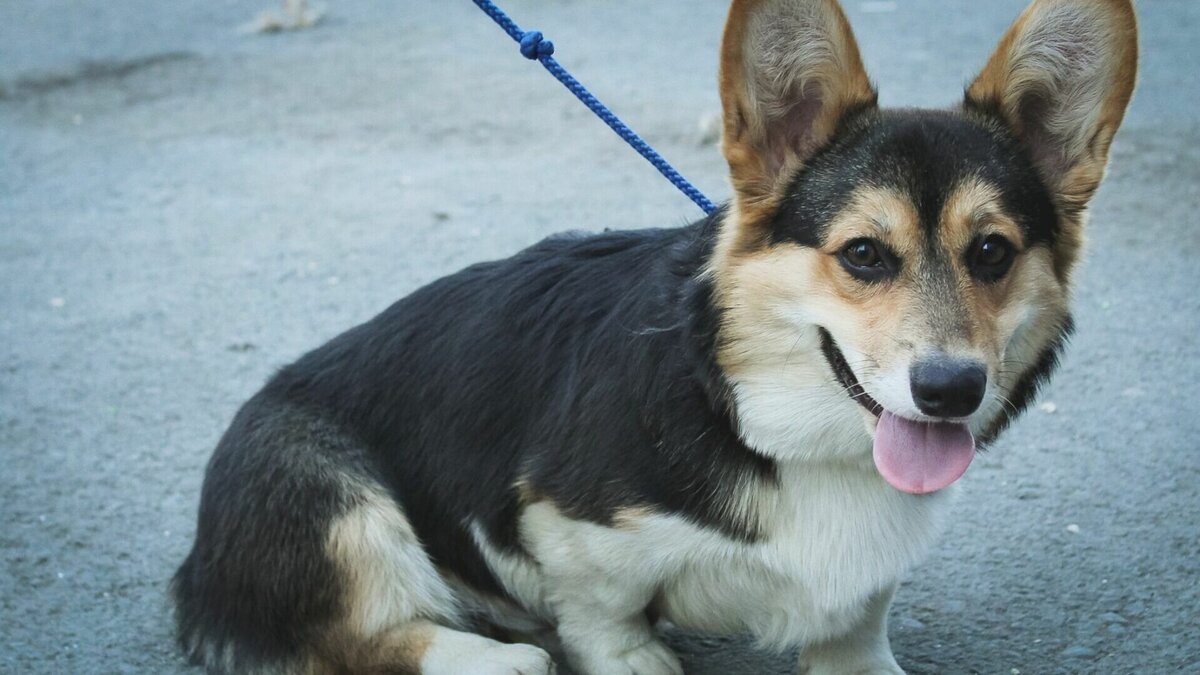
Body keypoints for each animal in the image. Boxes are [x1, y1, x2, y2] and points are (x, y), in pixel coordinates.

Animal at [169, 2, 1132, 667]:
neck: (781, 427)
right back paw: (497, 660)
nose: (950, 389)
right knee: (343, 638)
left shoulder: (864, 594)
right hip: (333, 497)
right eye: (863, 253)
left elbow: (859, 626)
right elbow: (604, 610)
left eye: (992, 251)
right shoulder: (560, 525)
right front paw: (623, 649)